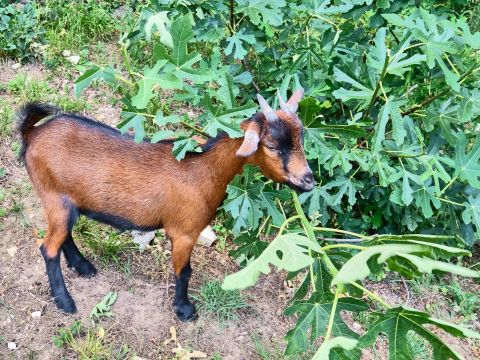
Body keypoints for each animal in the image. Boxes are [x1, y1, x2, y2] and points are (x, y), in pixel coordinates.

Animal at [16, 90, 314, 320]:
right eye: (272, 146)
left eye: (301, 139)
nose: (308, 180)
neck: (203, 171)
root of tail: (32, 133)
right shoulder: (184, 232)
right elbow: (184, 272)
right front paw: (184, 310)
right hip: (54, 197)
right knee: (48, 248)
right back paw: (66, 302)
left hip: (63, 202)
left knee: (62, 237)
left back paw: (84, 267)